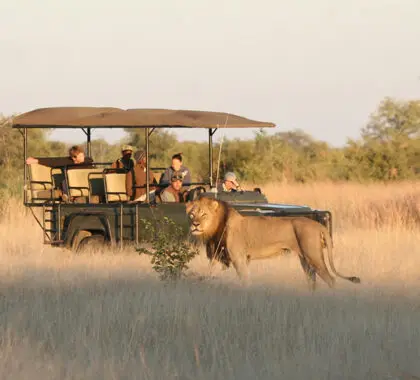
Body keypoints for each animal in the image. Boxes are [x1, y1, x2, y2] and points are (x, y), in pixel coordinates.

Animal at [187, 196, 360, 290]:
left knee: (331, 279)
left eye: (204, 214)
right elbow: (209, 275)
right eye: (192, 214)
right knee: (312, 280)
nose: (195, 225)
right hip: (305, 259)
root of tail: (318, 224)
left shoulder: (238, 258)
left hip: (314, 256)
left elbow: (245, 280)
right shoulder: (217, 257)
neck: (216, 228)